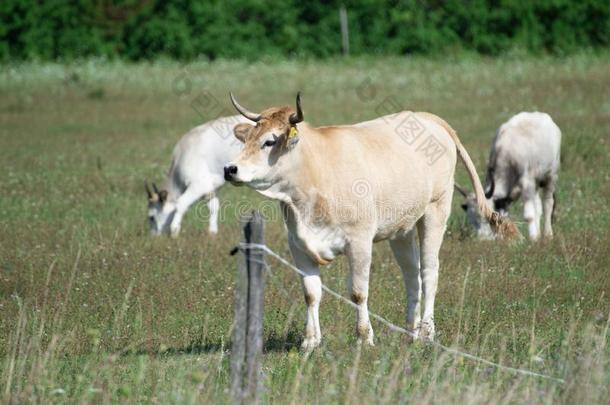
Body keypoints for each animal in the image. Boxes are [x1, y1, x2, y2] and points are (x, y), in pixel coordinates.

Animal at [223, 93, 516, 348]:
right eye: (247, 139)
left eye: (269, 142)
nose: (230, 169)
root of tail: (427, 117)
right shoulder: (298, 244)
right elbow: (311, 292)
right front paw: (310, 341)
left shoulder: (359, 241)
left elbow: (358, 292)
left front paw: (364, 337)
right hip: (402, 229)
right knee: (412, 276)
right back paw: (411, 332)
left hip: (436, 210)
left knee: (429, 272)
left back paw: (426, 333)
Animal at [456, 111, 560, 240]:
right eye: (472, 220)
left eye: (488, 219)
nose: (483, 239)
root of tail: (542, 115)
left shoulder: (526, 182)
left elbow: (528, 215)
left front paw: (533, 238)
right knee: (538, 204)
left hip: (550, 175)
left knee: (548, 203)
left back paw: (547, 234)